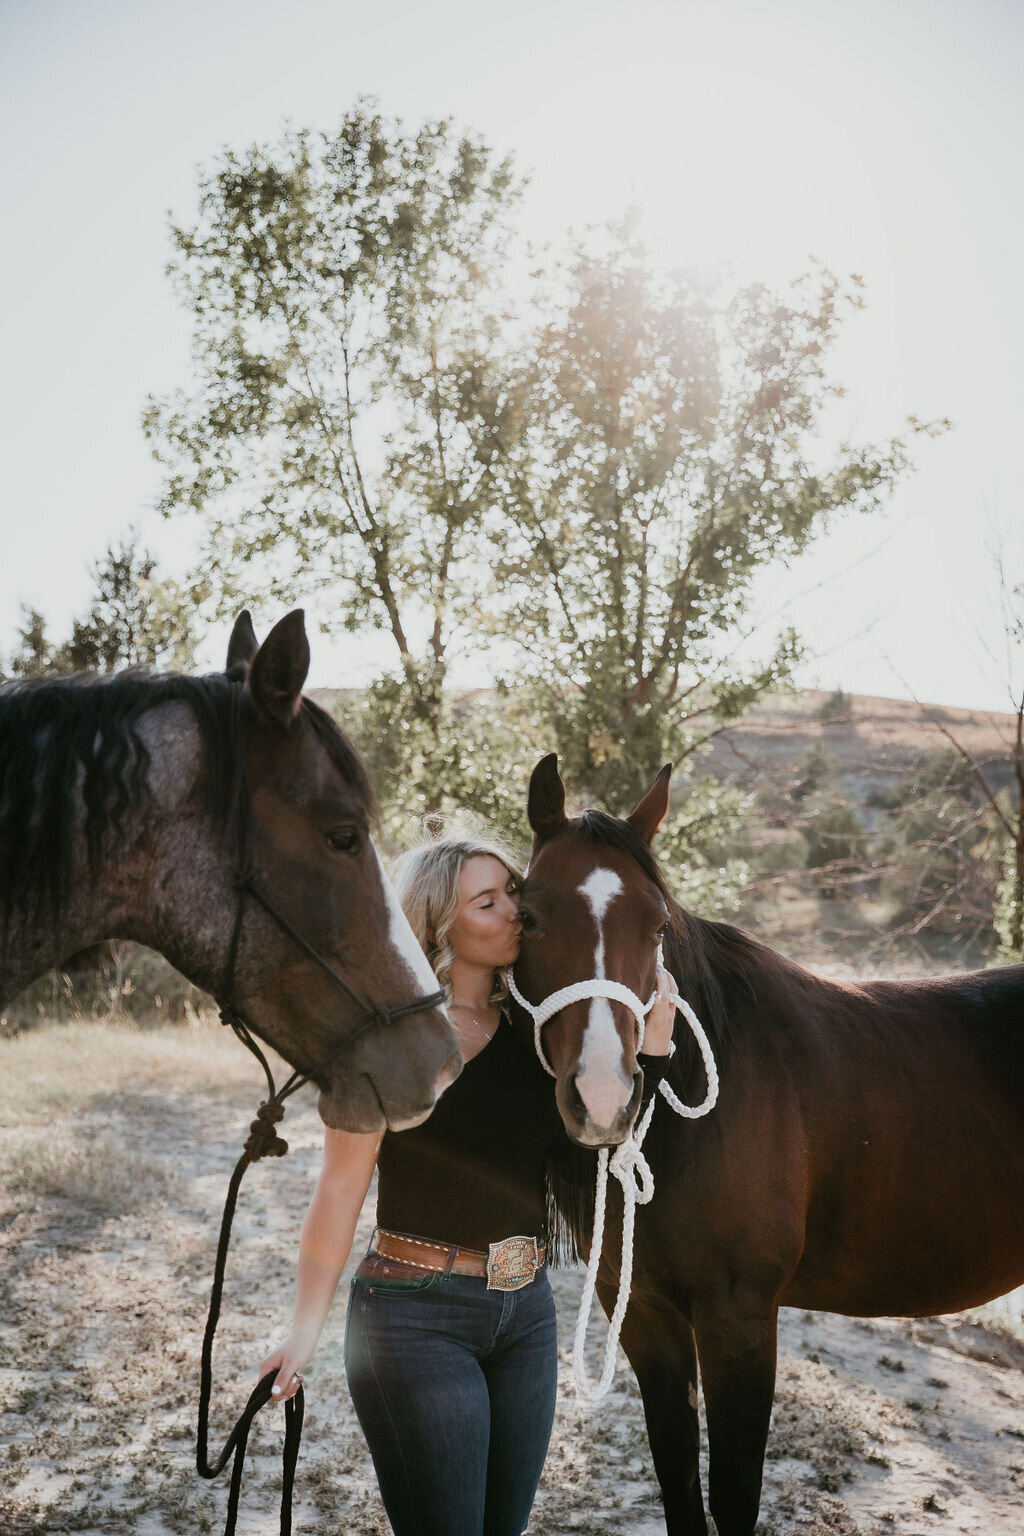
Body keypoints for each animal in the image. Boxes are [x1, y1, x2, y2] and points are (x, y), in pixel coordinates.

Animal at [515, 755, 1024, 1536]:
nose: (603, 1095)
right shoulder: (646, 1314)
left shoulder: (740, 1317)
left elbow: (733, 1494)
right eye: (531, 917)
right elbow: (679, 1482)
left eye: (658, 927)